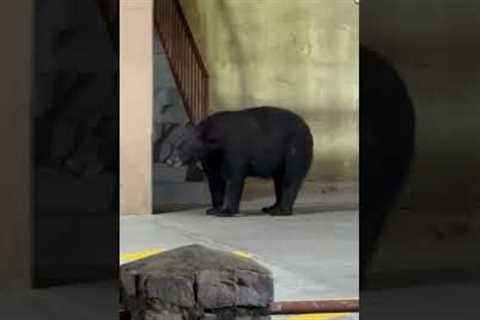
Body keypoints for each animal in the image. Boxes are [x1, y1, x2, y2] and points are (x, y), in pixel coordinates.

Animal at [166, 107, 316, 218]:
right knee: (279, 179)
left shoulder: (233, 151)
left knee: (290, 178)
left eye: (181, 148)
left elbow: (233, 178)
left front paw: (225, 211)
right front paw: (214, 208)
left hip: (294, 149)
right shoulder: (211, 159)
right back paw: (271, 207)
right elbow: (215, 180)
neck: (214, 145)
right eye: (174, 145)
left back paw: (281, 211)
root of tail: (307, 127)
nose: (169, 161)